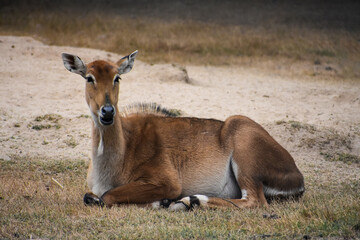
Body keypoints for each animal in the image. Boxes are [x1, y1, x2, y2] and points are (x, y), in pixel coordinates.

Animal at [62, 50, 304, 210]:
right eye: (89, 77)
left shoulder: (167, 182)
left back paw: (192, 200)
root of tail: (297, 176)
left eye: (117, 77)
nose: (107, 112)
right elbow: (90, 196)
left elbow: (107, 196)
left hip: (244, 151)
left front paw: (164, 201)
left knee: (255, 201)